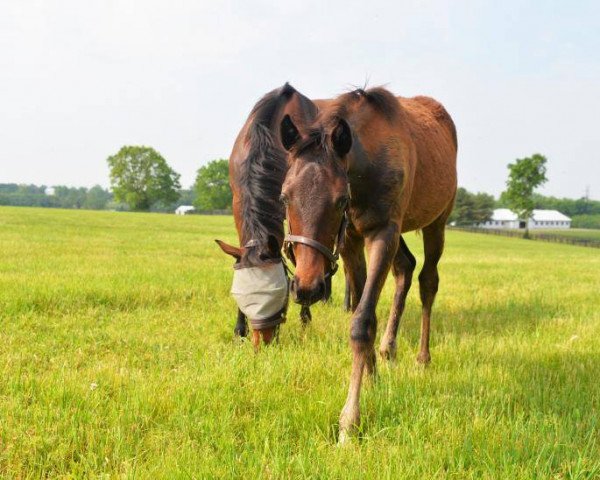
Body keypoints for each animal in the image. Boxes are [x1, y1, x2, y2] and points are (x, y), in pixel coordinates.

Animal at [278, 87, 458, 442]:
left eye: (340, 201)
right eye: (284, 196)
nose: (307, 287)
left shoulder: (382, 231)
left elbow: (361, 322)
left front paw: (349, 422)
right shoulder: (351, 239)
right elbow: (364, 307)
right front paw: (373, 380)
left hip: (436, 222)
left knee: (428, 281)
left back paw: (422, 358)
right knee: (405, 267)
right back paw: (389, 349)